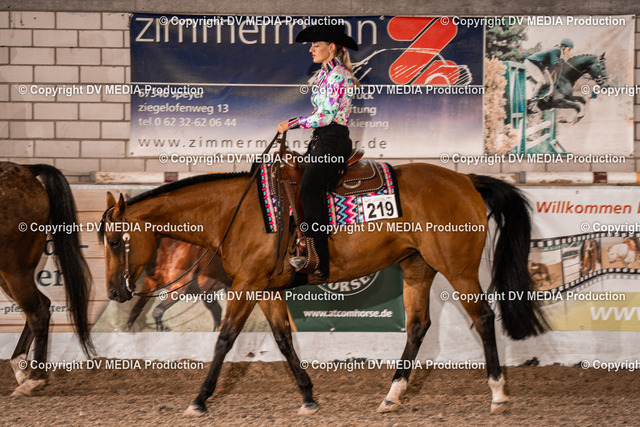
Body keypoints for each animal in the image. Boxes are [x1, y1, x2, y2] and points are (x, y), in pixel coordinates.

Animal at [0, 162, 93, 396]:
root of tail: (25, 170)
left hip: (14, 270)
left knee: (38, 311)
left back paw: (34, 380)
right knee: (42, 304)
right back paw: (22, 369)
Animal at [98, 162, 546, 417]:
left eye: (117, 240)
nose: (116, 293)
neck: (234, 214)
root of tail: (465, 179)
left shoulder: (246, 286)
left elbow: (224, 339)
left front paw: (200, 400)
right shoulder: (265, 289)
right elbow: (283, 340)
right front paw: (308, 397)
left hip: (458, 269)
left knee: (483, 317)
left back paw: (498, 394)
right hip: (417, 268)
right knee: (418, 326)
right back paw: (392, 396)